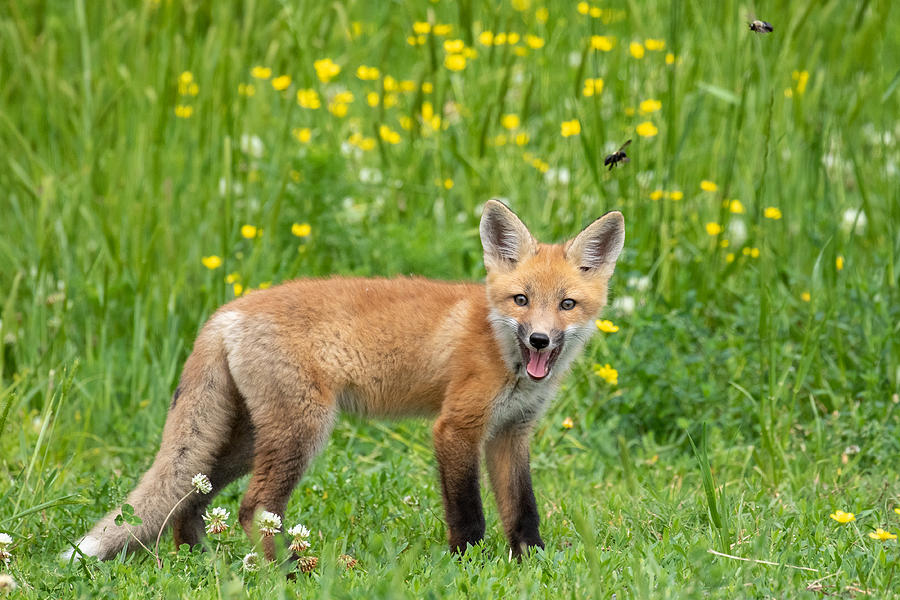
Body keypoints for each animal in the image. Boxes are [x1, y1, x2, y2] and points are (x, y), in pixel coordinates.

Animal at [65, 200, 624, 564]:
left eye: (567, 304)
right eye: (521, 300)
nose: (539, 340)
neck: (500, 346)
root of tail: (228, 310)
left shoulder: (511, 433)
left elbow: (522, 510)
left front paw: (531, 563)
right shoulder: (456, 429)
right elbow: (469, 513)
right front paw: (467, 563)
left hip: (243, 440)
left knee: (189, 496)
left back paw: (200, 562)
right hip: (302, 431)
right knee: (253, 509)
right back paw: (283, 570)